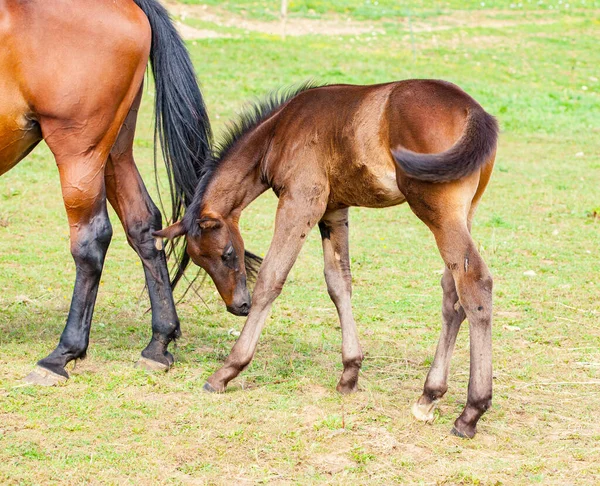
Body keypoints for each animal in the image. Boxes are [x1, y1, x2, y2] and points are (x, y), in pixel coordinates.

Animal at [0, 0, 216, 384]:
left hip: (79, 153)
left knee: (91, 241)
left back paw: (61, 355)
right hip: (114, 151)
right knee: (143, 224)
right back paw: (158, 344)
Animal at [157, 80, 500, 440]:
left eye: (227, 254)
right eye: (200, 262)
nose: (237, 306)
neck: (279, 131)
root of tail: (475, 112)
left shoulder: (301, 201)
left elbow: (271, 278)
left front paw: (226, 371)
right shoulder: (334, 210)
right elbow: (338, 283)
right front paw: (350, 371)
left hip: (438, 212)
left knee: (475, 285)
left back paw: (470, 412)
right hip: (464, 212)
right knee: (452, 294)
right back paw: (428, 397)